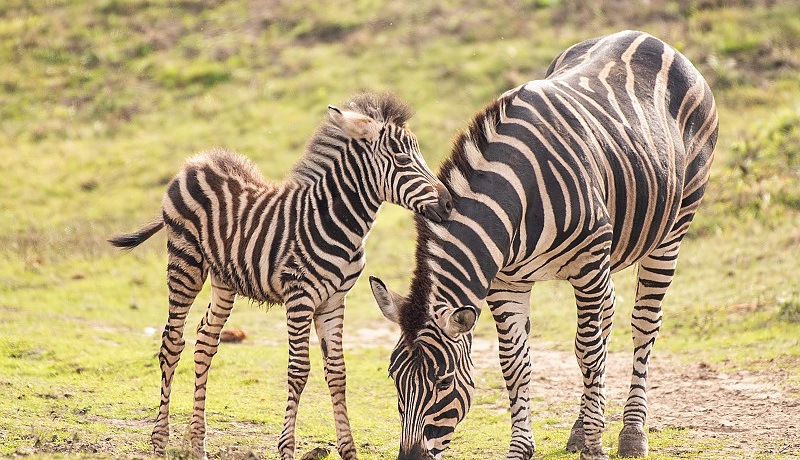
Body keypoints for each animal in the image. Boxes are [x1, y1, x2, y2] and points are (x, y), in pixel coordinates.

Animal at [109, 93, 454, 460]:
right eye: (402, 158)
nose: (448, 203)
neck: (338, 222)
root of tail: (196, 161)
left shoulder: (334, 301)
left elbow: (338, 373)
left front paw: (348, 450)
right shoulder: (300, 297)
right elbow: (299, 371)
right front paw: (287, 449)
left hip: (224, 279)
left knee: (205, 340)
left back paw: (198, 443)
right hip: (185, 262)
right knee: (172, 342)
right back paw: (159, 441)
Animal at [370, 30, 720, 458]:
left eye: (444, 381)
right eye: (394, 377)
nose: (408, 457)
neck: (516, 194)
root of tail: (648, 37)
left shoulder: (587, 265)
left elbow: (587, 352)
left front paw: (595, 447)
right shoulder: (507, 282)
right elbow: (515, 363)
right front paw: (523, 447)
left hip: (672, 227)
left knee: (643, 324)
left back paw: (632, 432)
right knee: (607, 318)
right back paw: (583, 426)